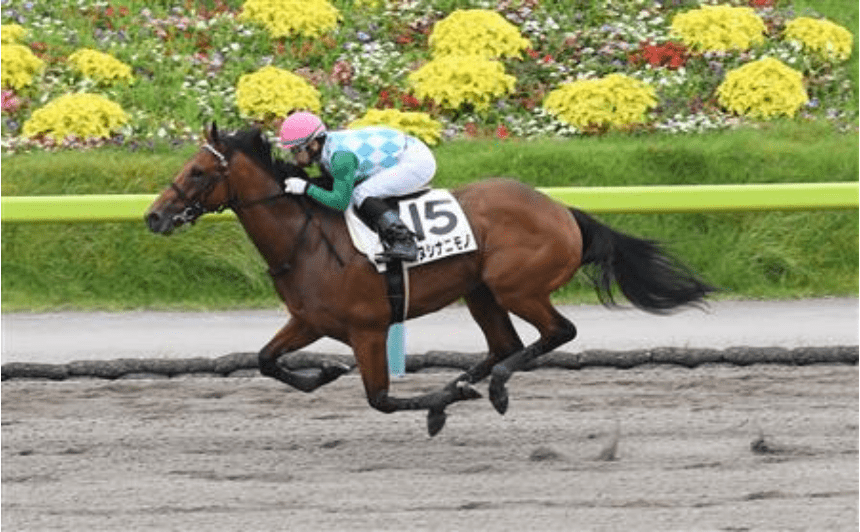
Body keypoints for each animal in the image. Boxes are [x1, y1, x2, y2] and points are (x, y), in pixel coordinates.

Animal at [145, 123, 713, 436]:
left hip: (515, 286)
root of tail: (561, 209)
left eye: (198, 172)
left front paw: (437, 406)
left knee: (556, 333)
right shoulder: (310, 321)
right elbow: (265, 360)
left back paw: (490, 387)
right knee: (504, 345)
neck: (305, 239)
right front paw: (323, 372)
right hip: (480, 292)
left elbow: (380, 398)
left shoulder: (369, 329)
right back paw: (465, 383)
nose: (153, 217)